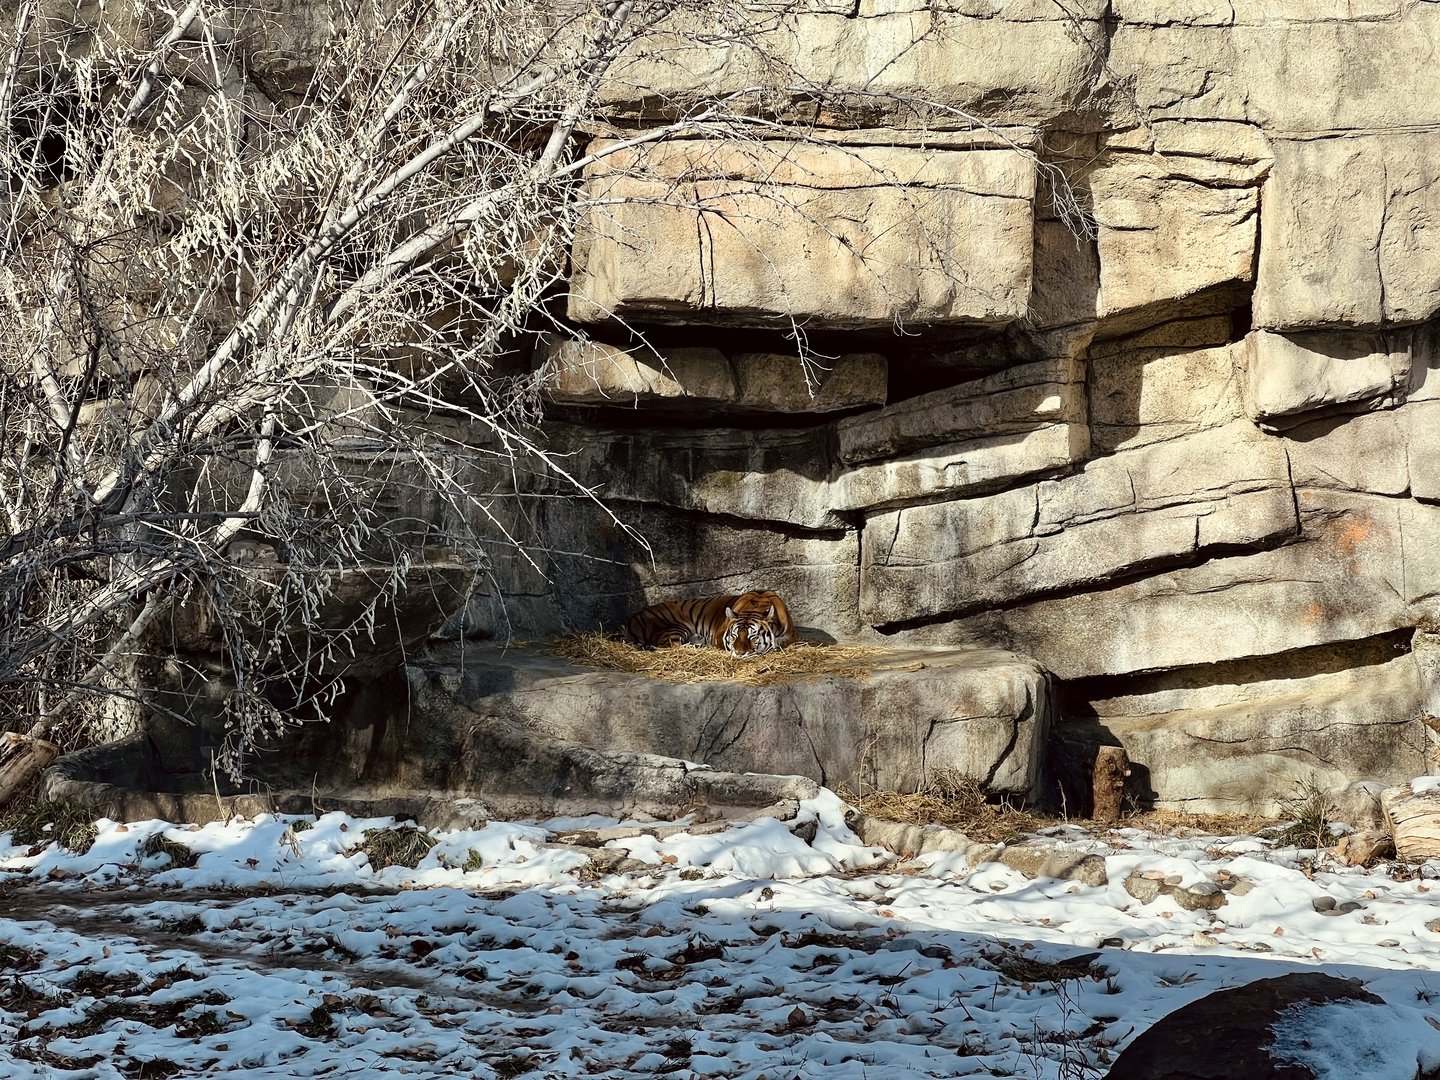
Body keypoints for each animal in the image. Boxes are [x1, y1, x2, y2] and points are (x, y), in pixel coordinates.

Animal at [618, 590, 796, 657]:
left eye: (753, 636)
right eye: (734, 635)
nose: (739, 654)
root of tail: (630, 618)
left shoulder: (790, 636)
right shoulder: (719, 635)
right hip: (676, 628)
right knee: (669, 646)